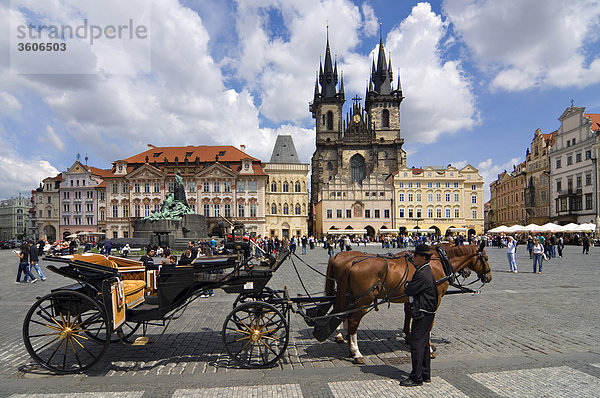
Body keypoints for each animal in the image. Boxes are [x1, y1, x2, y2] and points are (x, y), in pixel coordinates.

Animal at [324, 243, 492, 364]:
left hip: (350, 298)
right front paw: (429, 348)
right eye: (485, 258)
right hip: (363, 301)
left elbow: (410, 316)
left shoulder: (412, 297)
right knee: (352, 321)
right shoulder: (434, 299)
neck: (437, 262)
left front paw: (410, 338)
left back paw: (348, 346)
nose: (489, 277)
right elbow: (428, 324)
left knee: (343, 316)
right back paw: (356, 352)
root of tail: (350, 263)